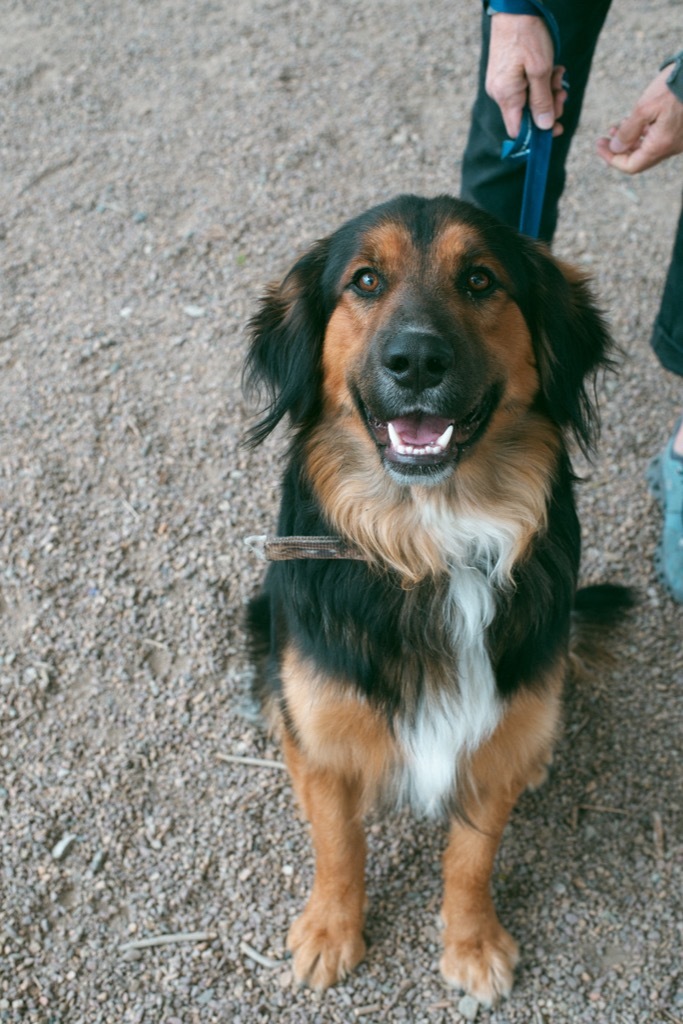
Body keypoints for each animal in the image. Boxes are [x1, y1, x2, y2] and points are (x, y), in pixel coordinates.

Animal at [242, 195, 626, 1003]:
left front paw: (472, 944)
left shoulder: (491, 736)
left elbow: (471, 857)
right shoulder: (323, 729)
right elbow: (337, 840)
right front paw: (330, 932)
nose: (416, 361)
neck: (428, 538)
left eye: (480, 279)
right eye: (364, 280)